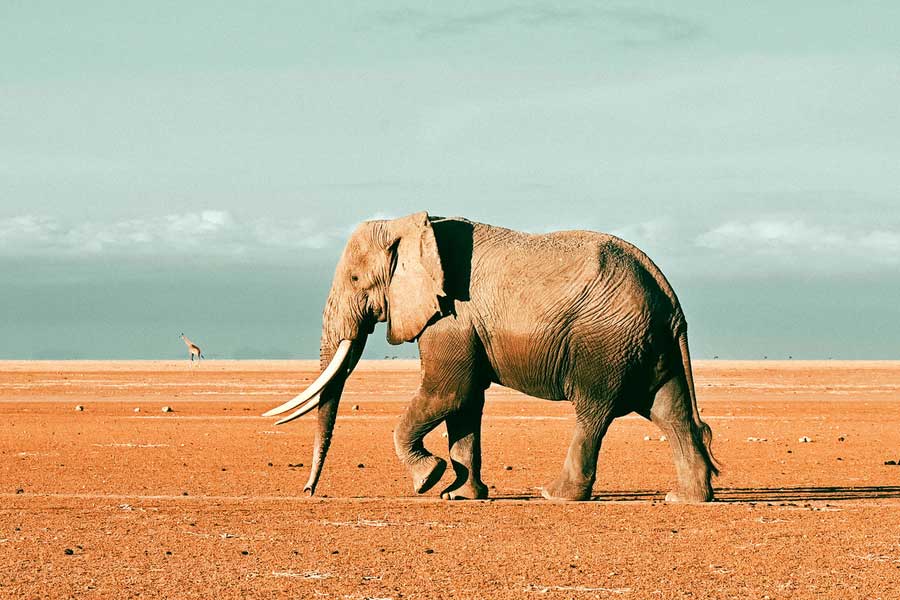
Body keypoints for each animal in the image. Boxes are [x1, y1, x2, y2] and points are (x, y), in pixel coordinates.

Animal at [263, 211, 718, 502]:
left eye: (357, 279)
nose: (308, 492)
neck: (410, 226)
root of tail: (667, 293)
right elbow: (465, 404)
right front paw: (459, 495)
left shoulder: (450, 316)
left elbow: (448, 393)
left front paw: (427, 481)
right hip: (644, 343)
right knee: (670, 411)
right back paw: (685, 499)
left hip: (606, 341)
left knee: (594, 413)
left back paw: (555, 495)